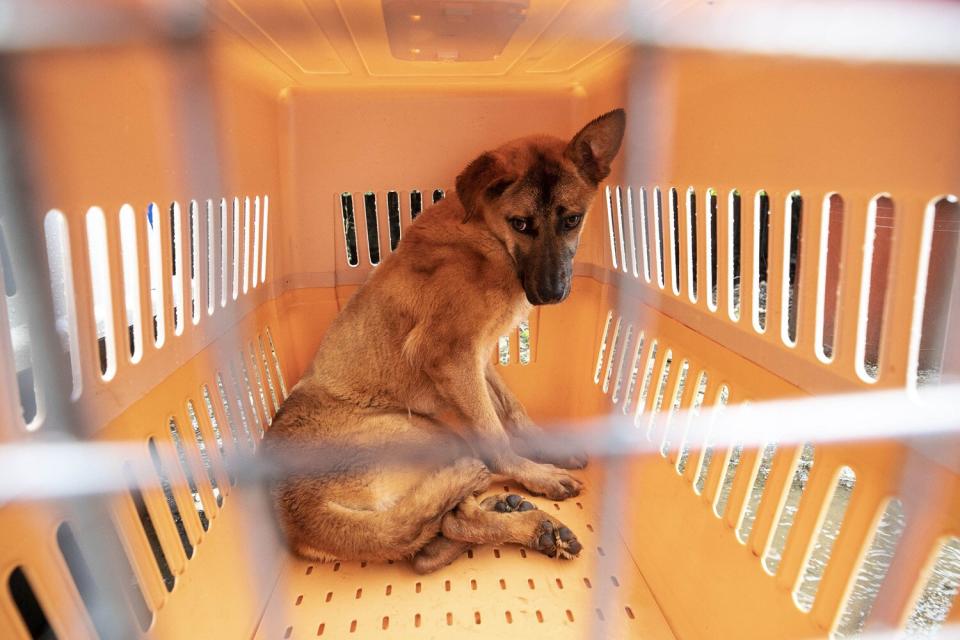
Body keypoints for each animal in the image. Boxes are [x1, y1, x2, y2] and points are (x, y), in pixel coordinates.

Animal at [264, 110, 624, 576]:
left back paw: (515, 516)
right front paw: (536, 473)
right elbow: (497, 437)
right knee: (454, 518)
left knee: (430, 545)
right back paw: (534, 523)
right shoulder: (452, 358)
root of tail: (298, 511)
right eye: (521, 223)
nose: (549, 294)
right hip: (433, 434)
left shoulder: (478, 359)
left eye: (572, 220)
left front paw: (546, 450)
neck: (485, 235)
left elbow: (513, 408)